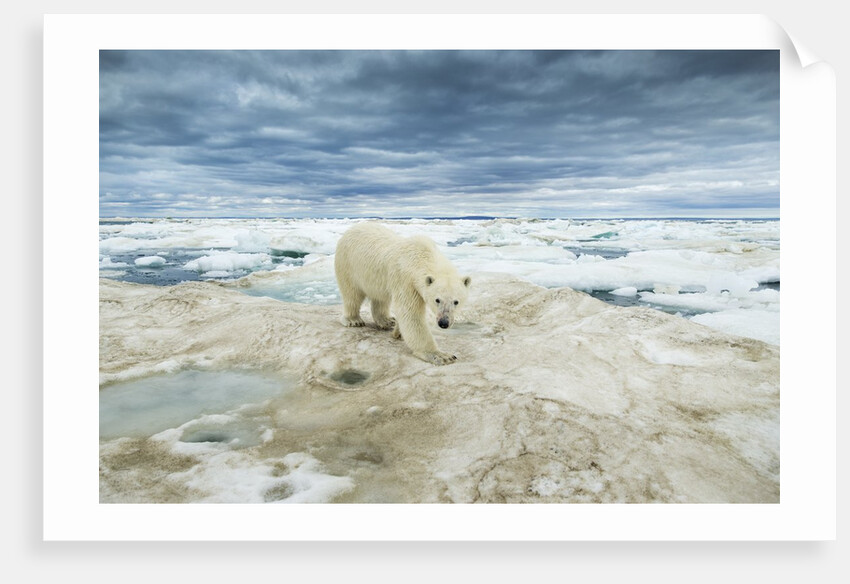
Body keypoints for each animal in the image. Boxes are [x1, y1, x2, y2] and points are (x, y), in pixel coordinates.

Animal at [334, 222, 471, 365]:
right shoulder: (406, 280)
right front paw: (441, 355)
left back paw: (387, 320)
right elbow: (411, 314)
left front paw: (397, 332)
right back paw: (353, 320)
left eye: (456, 301)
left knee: (380, 298)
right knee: (352, 295)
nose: (443, 323)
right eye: (437, 300)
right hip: (348, 265)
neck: (421, 256)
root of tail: (351, 229)